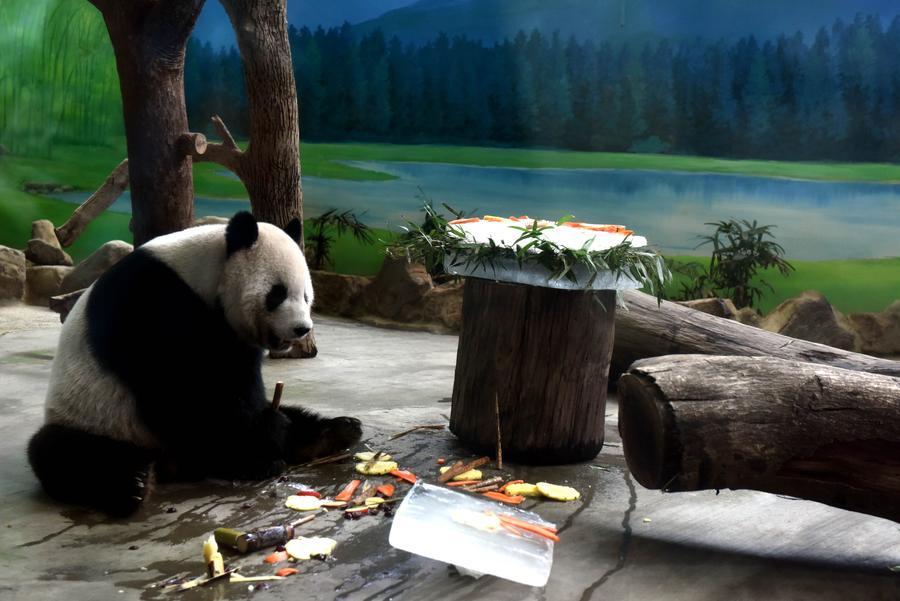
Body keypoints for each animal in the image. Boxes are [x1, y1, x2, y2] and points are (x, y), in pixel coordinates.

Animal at [27, 211, 362, 516]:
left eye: (306, 295)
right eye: (277, 294)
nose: (301, 329)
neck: (203, 274)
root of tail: (172, 463)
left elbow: (239, 387)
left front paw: (272, 437)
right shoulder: (153, 303)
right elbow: (183, 392)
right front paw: (265, 439)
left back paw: (335, 432)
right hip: (98, 419)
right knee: (62, 453)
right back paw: (132, 484)